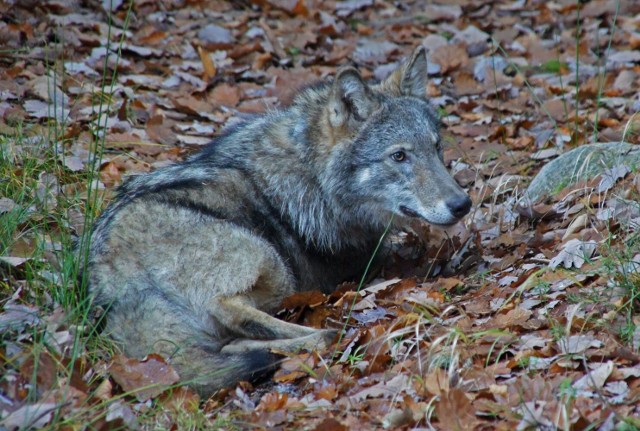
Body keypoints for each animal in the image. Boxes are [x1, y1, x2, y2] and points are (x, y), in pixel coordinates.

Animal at [86, 45, 470, 396]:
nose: (462, 204)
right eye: (399, 156)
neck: (313, 175)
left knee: (227, 342)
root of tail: (110, 278)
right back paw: (324, 335)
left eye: (436, 147)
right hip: (273, 263)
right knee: (231, 311)